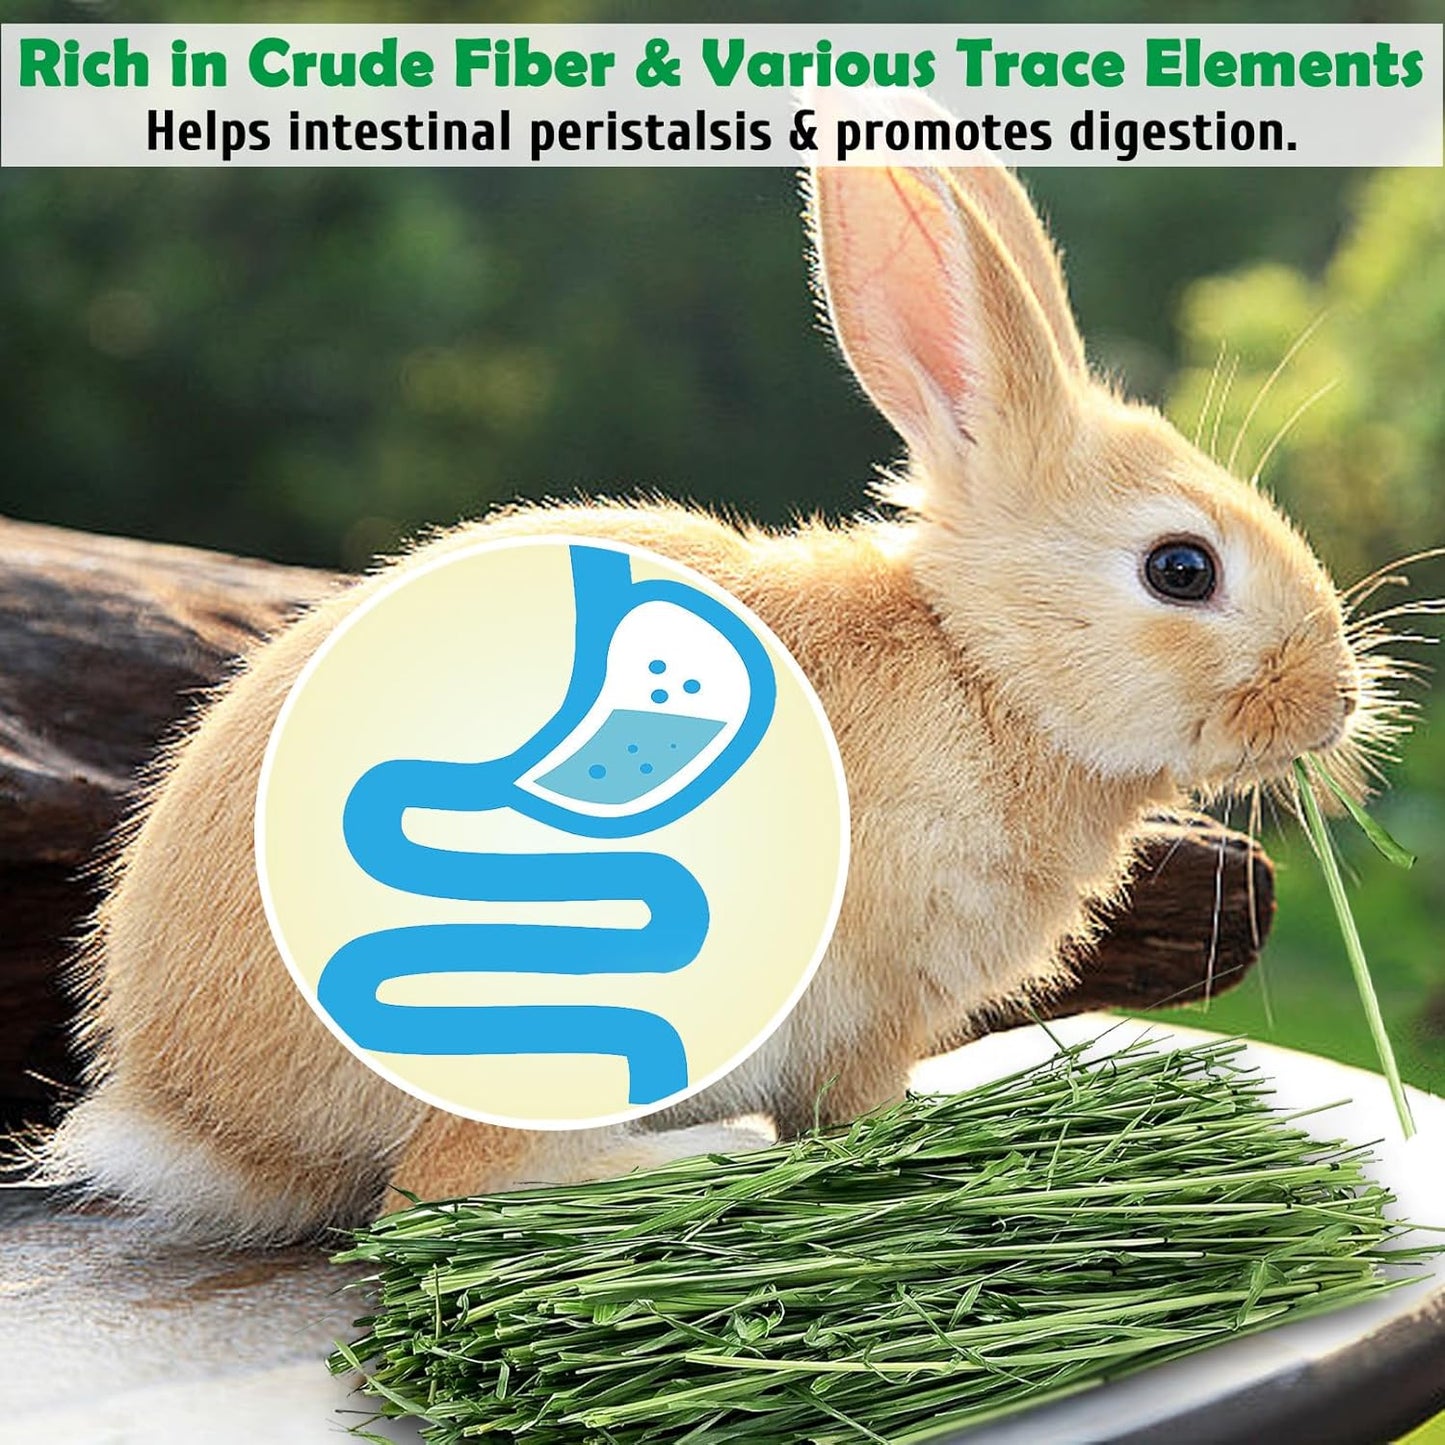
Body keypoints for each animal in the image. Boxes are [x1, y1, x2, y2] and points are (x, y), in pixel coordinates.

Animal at [33, 155, 1369, 1245]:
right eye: (1180, 569)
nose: (1336, 697)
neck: (978, 663)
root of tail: (189, 1116)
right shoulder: (872, 1000)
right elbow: (853, 1103)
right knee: (442, 1189)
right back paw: (700, 1153)